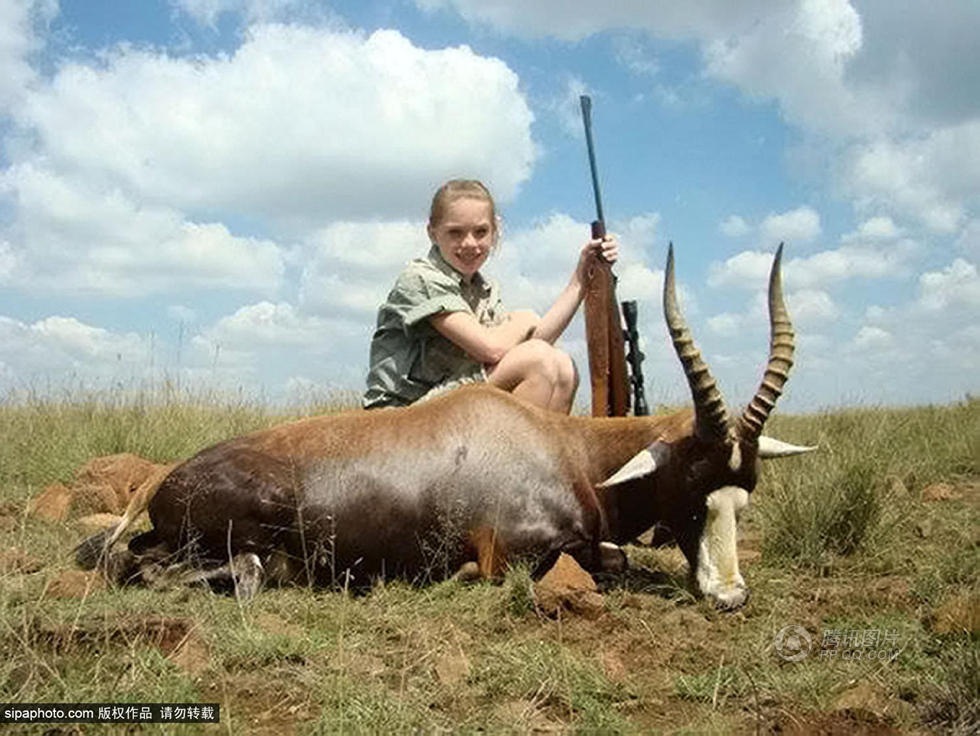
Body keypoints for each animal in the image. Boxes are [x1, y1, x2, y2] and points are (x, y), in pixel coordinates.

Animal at [80, 244, 812, 608]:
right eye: (691, 492)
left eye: (743, 498)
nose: (730, 596)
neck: (557, 445)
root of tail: (164, 481)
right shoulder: (516, 549)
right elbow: (596, 559)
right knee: (180, 568)